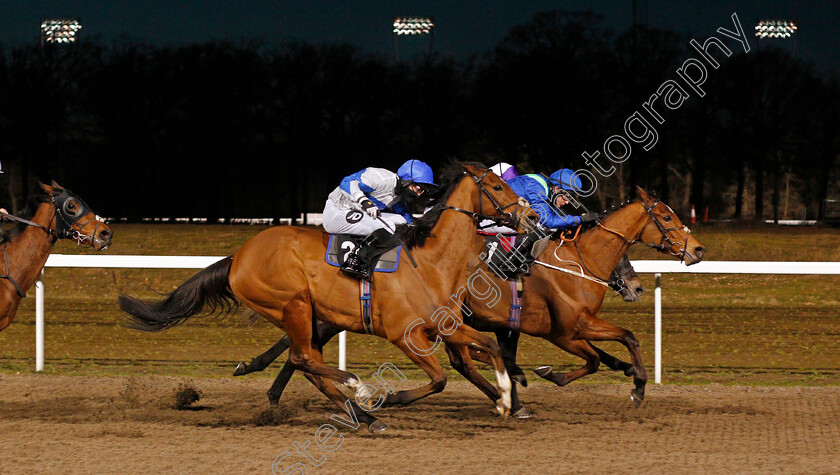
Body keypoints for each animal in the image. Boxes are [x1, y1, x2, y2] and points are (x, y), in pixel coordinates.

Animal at [118, 163, 536, 432]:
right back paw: (359, 391)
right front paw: (385, 397)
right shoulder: (405, 335)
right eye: (498, 187)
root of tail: (239, 255)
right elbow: (439, 379)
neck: (431, 263)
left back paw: (363, 415)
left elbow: (486, 347)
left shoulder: (444, 326)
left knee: (306, 362)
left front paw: (505, 399)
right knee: (304, 358)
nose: (531, 218)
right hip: (294, 305)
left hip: (304, 313)